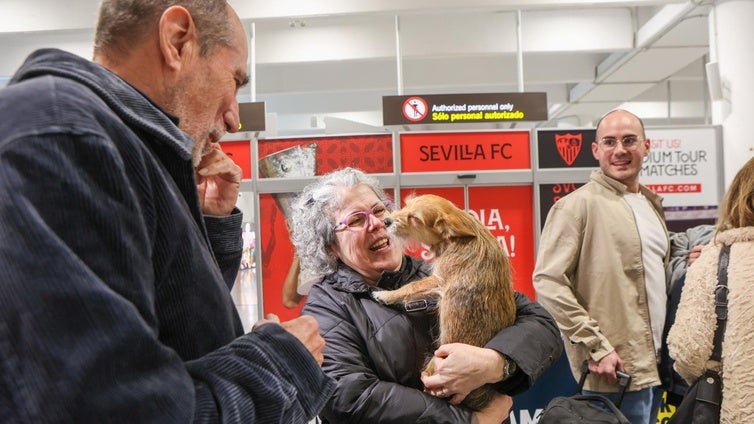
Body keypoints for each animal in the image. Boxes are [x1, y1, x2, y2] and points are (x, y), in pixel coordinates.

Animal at [372, 195, 516, 410]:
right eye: (406, 205)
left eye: (415, 218)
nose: (386, 221)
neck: (457, 239)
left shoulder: (438, 280)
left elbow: (411, 287)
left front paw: (386, 295)